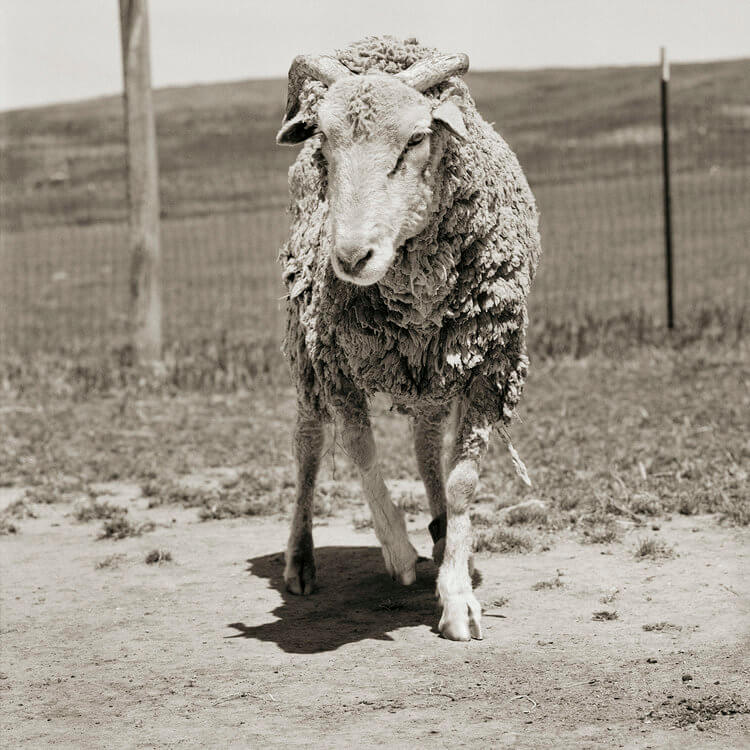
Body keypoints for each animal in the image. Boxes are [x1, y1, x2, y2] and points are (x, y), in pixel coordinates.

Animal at [276, 38, 540, 644]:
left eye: (417, 139)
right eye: (325, 143)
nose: (351, 258)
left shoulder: (488, 365)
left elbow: (462, 480)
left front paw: (458, 597)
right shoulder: (336, 362)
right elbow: (362, 453)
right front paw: (398, 552)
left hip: (434, 371)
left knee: (424, 443)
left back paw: (443, 537)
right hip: (306, 356)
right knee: (308, 446)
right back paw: (301, 559)